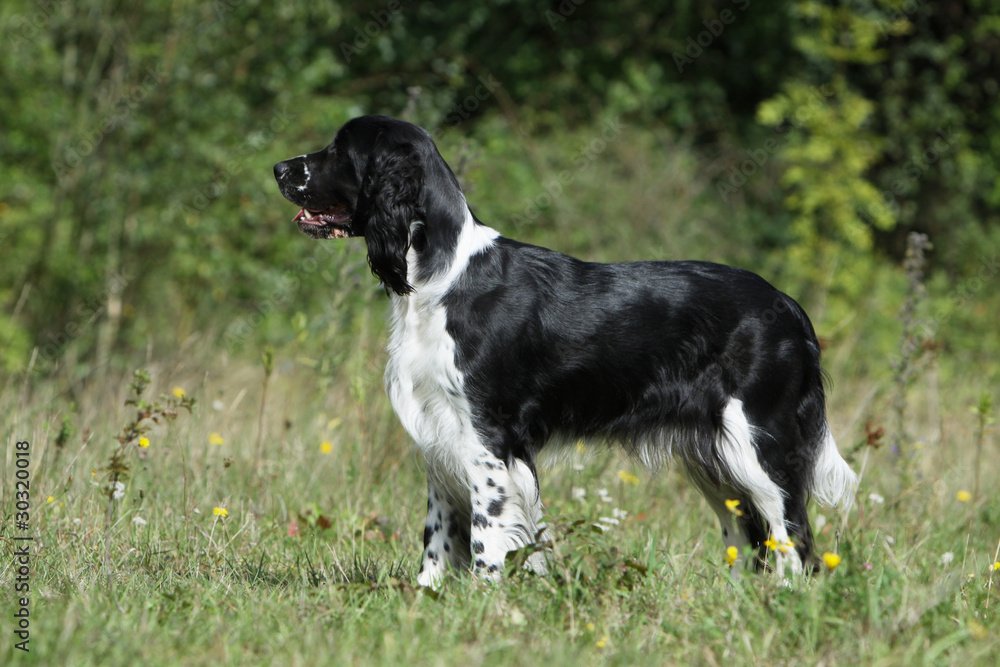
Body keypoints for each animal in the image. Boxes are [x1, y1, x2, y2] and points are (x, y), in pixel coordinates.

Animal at [272, 117, 852, 588]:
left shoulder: (489, 437)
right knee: (749, 537)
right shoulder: (439, 434)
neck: (441, 281)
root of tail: (789, 306)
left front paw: (485, 599)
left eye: (340, 149)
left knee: (793, 537)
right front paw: (426, 597)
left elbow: (487, 530)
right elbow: (438, 534)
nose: (278, 167)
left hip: (760, 445)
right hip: (713, 457)